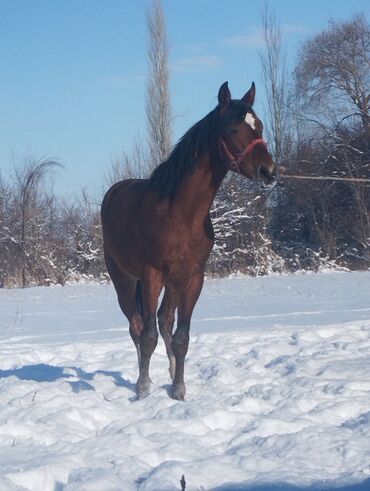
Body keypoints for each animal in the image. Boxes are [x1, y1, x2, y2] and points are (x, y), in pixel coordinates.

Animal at [101, 82, 274, 402]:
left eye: (259, 126)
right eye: (233, 129)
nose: (268, 171)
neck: (180, 213)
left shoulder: (193, 277)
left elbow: (181, 336)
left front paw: (178, 389)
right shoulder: (152, 273)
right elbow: (147, 336)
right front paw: (143, 388)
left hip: (172, 282)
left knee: (163, 320)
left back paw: (169, 373)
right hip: (124, 279)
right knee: (136, 325)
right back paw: (142, 378)